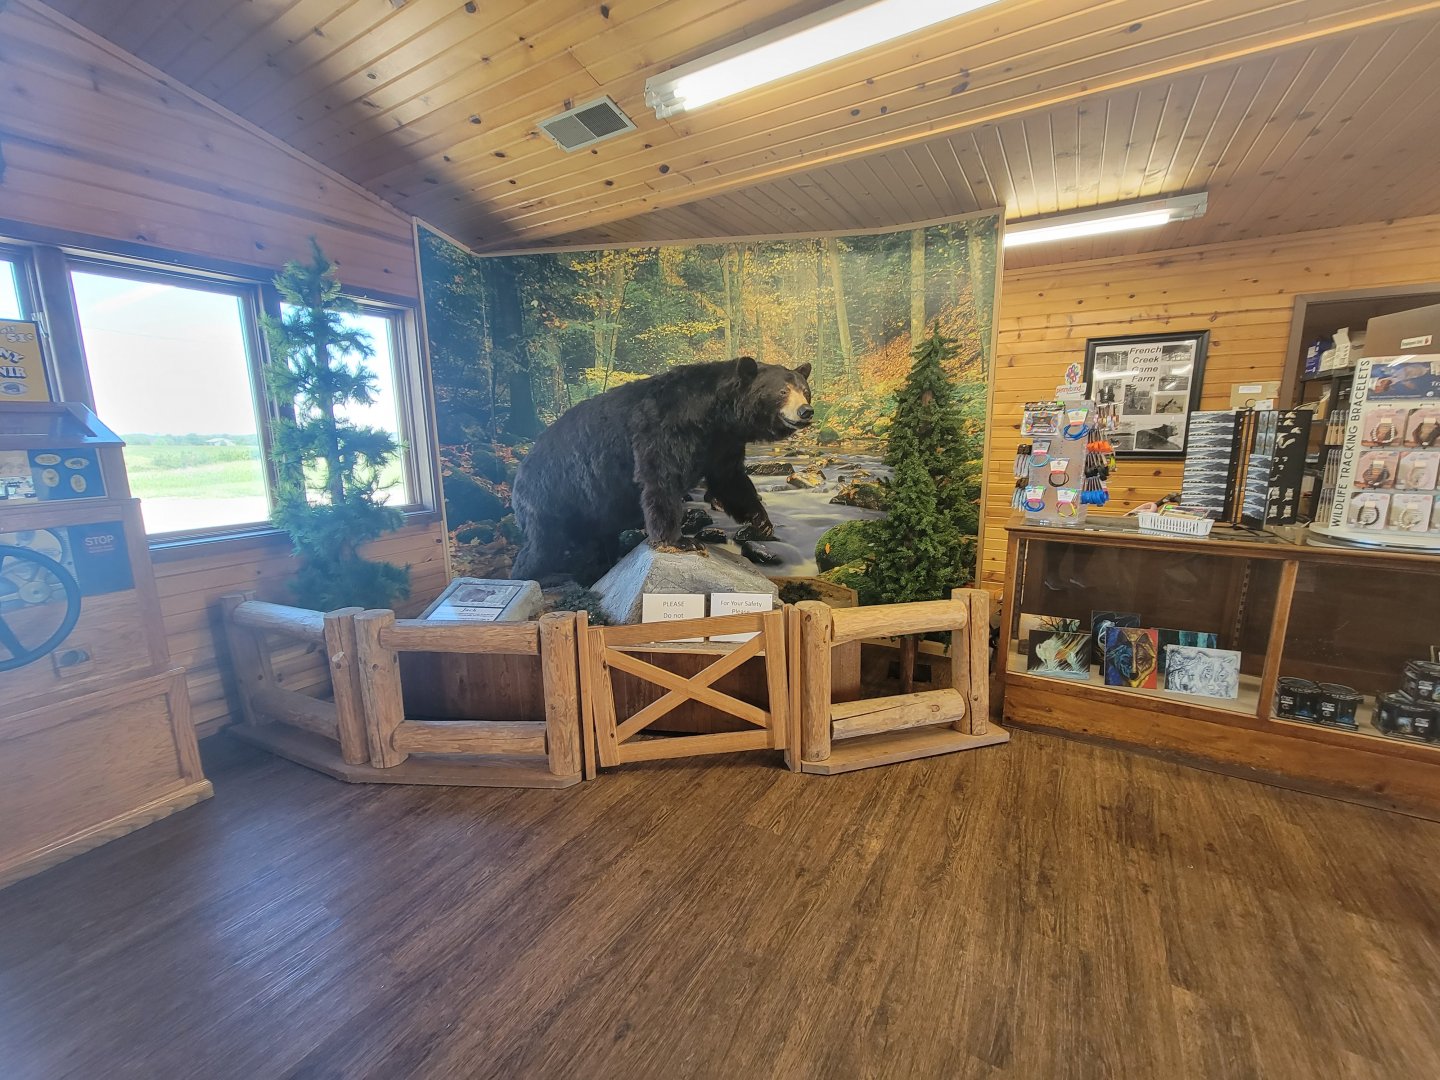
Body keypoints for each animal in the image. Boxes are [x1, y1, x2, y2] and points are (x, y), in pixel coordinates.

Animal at [509, 357, 813, 583]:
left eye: (805, 390)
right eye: (782, 391)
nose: (806, 411)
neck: (715, 415)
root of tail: (520, 469)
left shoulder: (722, 444)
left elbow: (731, 481)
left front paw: (762, 521)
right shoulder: (666, 427)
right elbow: (661, 479)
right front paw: (679, 541)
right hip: (553, 494)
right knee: (544, 544)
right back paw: (530, 574)